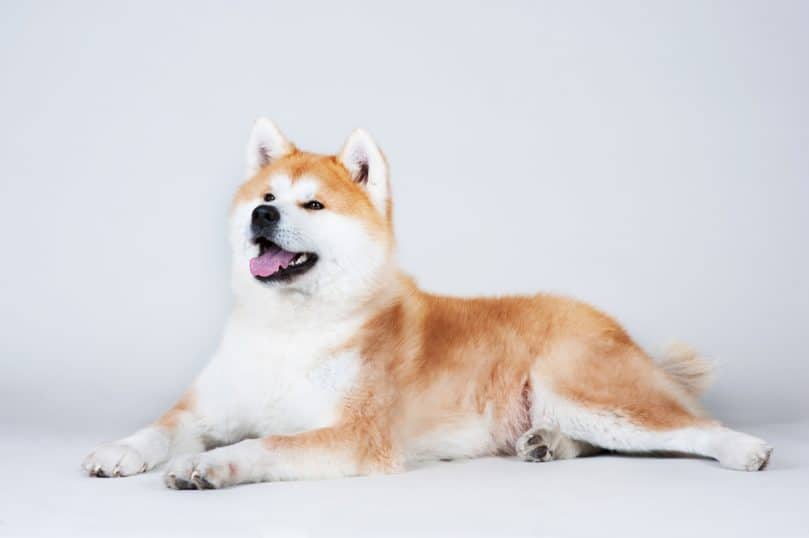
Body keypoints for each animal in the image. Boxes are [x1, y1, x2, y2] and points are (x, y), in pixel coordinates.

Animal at [82, 119, 772, 488]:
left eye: (313, 204)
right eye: (267, 195)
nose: (263, 215)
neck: (290, 332)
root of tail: (619, 329)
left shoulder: (355, 436)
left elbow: (261, 445)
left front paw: (212, 466)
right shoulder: (205, 409)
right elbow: (161, 428)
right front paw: (119, 450)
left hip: (585, 389)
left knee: (690, 429)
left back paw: (745, 451)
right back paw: (548, 444)